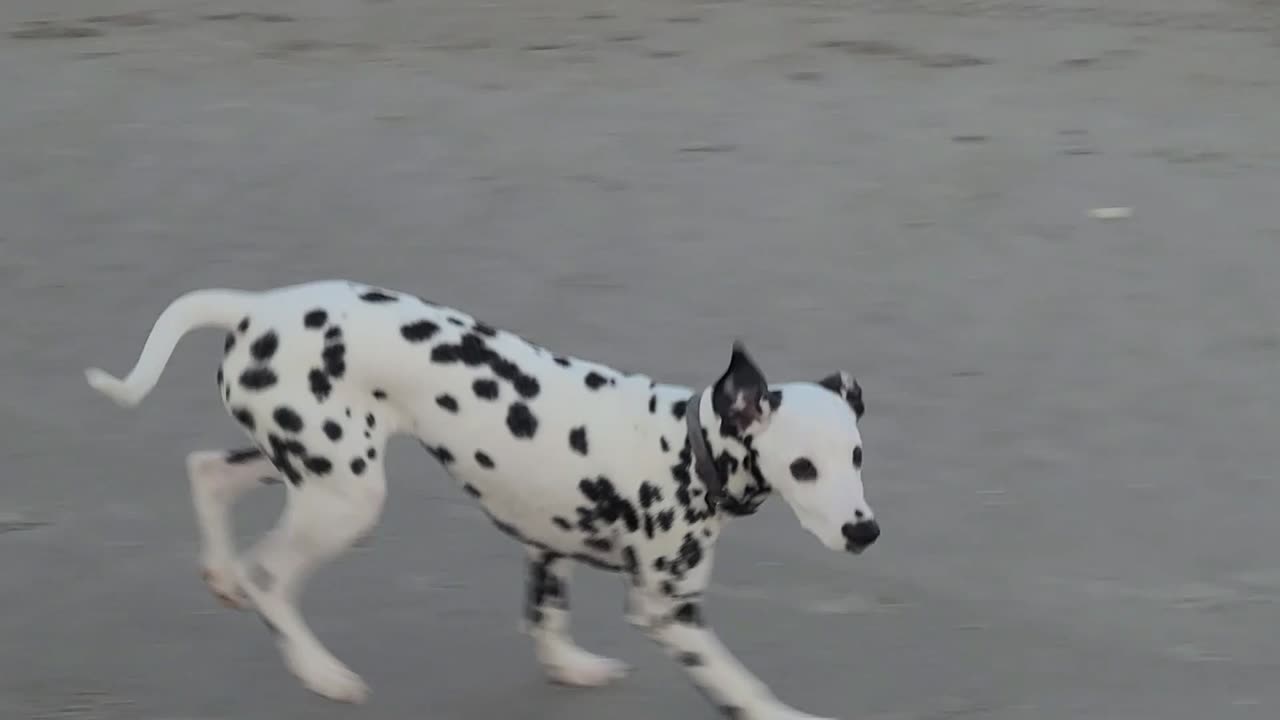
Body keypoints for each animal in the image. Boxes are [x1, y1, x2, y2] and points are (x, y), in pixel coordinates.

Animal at [82, 279, 880, 717]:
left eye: (857, 456)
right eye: (804, 467)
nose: (864, 532)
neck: (683, 447)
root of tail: (257, 310)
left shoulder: (547, 545)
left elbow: (545, 619)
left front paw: (569, 666)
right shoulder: (670, 612)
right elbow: (744, 689)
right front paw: (784, 716)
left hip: (306, 465)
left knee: (207, 471)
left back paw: (220, 574)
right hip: (342, 494)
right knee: (270, 577)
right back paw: (319, 672)